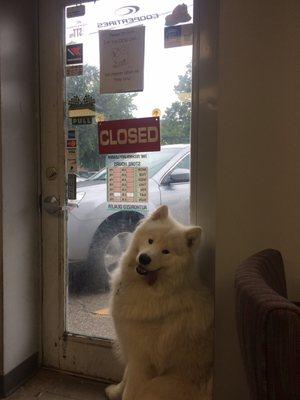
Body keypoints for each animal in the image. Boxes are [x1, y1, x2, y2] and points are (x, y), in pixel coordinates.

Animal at [106, 205, 212, 398]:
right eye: (150, 241)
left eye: (166, 251)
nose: (144, 258)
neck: (155, 290)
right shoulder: (133, 350)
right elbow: (125, 377)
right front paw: (114, 391)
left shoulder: (141, 359)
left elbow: (130, 389)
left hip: (159, 384)